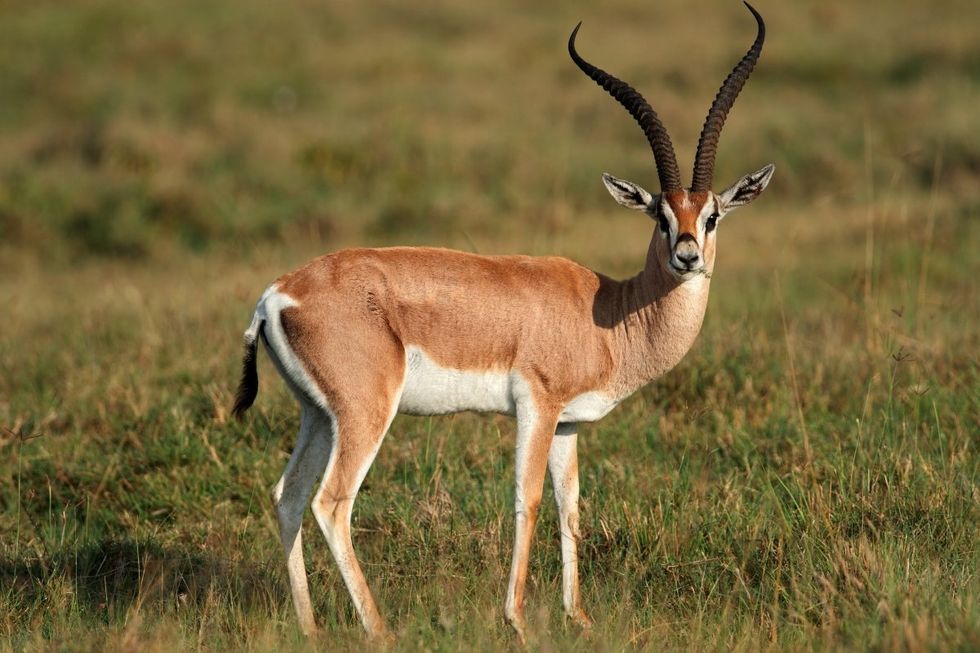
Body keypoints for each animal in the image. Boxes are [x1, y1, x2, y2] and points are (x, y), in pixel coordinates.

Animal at [232, 2, 773, 643]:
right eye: (661, 216)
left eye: (711, 215)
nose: (687, 256)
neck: (609, 315)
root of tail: (277, 294)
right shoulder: (536, 407)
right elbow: (528, 499)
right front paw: (517, 620)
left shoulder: (567, 424)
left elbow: (570, 504)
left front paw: (578, 617)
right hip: (366, 413)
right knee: (331, 503)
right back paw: (381, 630)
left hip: (317, 413)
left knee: (288, 496)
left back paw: (311, 629)